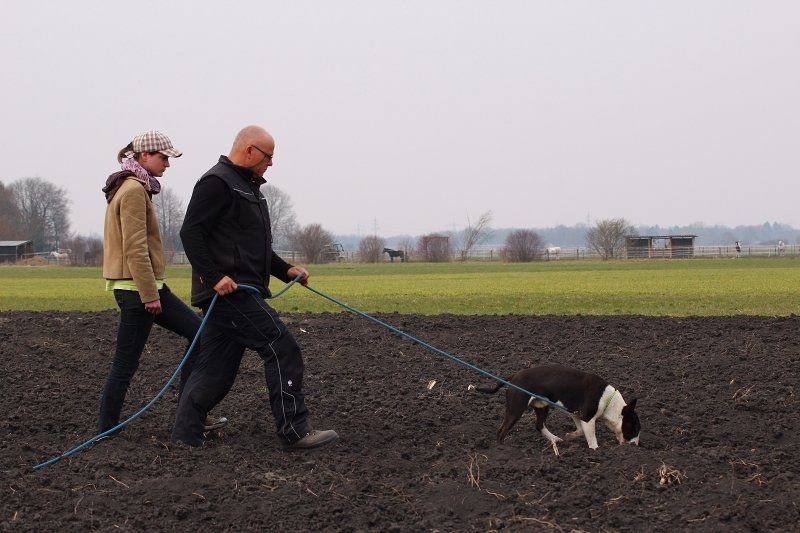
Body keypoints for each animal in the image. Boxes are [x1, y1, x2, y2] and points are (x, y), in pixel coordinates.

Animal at [476, 365, 640, 454]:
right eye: (634, 428)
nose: (636, 446)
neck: (609, 402)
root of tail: (513, 376)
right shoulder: (588, 419)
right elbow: (592, 438)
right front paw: (595, 451)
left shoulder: (576, 415)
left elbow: (580, 431)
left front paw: (570, 436)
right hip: (516, 410)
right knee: (502, 431)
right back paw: (502, 450)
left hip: (542, 407)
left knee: (539, 425)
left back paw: (555, 439)